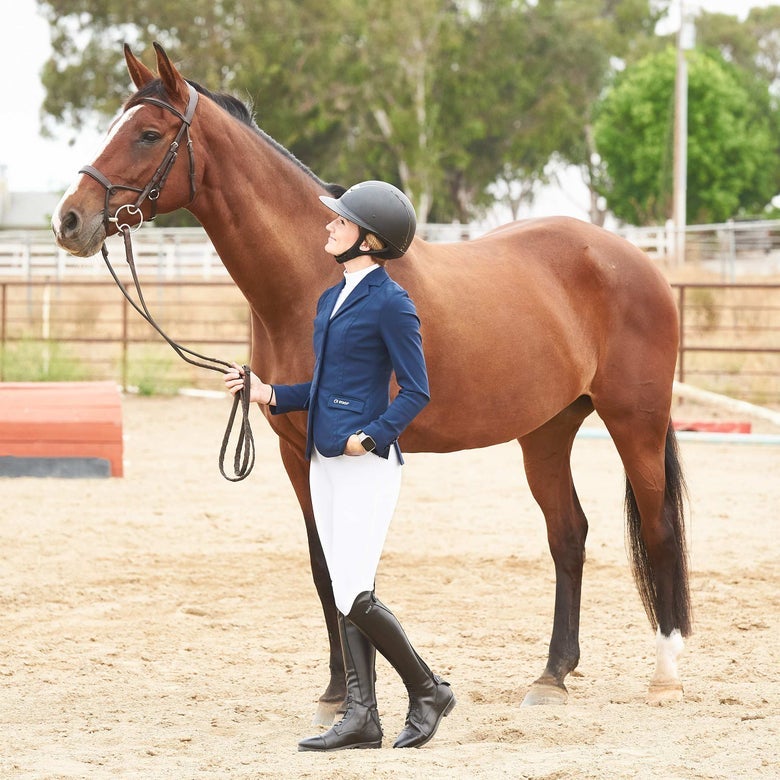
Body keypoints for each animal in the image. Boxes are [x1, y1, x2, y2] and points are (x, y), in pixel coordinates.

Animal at [52, 43, 691, 725]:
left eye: (148, 134)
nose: (70, 220)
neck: (317, 282)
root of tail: (636, 261)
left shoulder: (358, 446)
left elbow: (355, 566)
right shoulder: (296, 450)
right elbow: (325, 568)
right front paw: (337, 694)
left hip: (634, 422)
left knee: (659, 530)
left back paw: (665, 675)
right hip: (547, 431)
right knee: (568, 535)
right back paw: (552, 676)